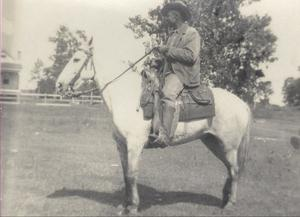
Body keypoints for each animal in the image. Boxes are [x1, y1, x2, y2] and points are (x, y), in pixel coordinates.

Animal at [55, 41, 251, 214]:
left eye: (76, 59)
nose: (59, 85)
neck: (127, 97)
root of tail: (242, 104)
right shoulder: (121, 145)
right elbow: (125, 175)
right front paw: (124, 205)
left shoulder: (135, 145)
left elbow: (132, 175)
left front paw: (133, 207)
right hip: (213, 142)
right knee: (230, 169)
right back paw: (225, 199)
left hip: (229, 146)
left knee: (234, 170)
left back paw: (230, 204)